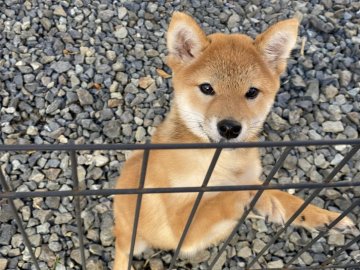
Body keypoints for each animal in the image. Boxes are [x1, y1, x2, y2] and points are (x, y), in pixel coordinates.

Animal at [113, 12, 354, 268]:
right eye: (207, 88)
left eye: (252, 92)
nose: (229, 128)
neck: (222, 162)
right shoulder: (180, 227)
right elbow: (225, 197)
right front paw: (257, 200)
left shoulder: (252, 178)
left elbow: (281, 194)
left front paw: (324, 216)